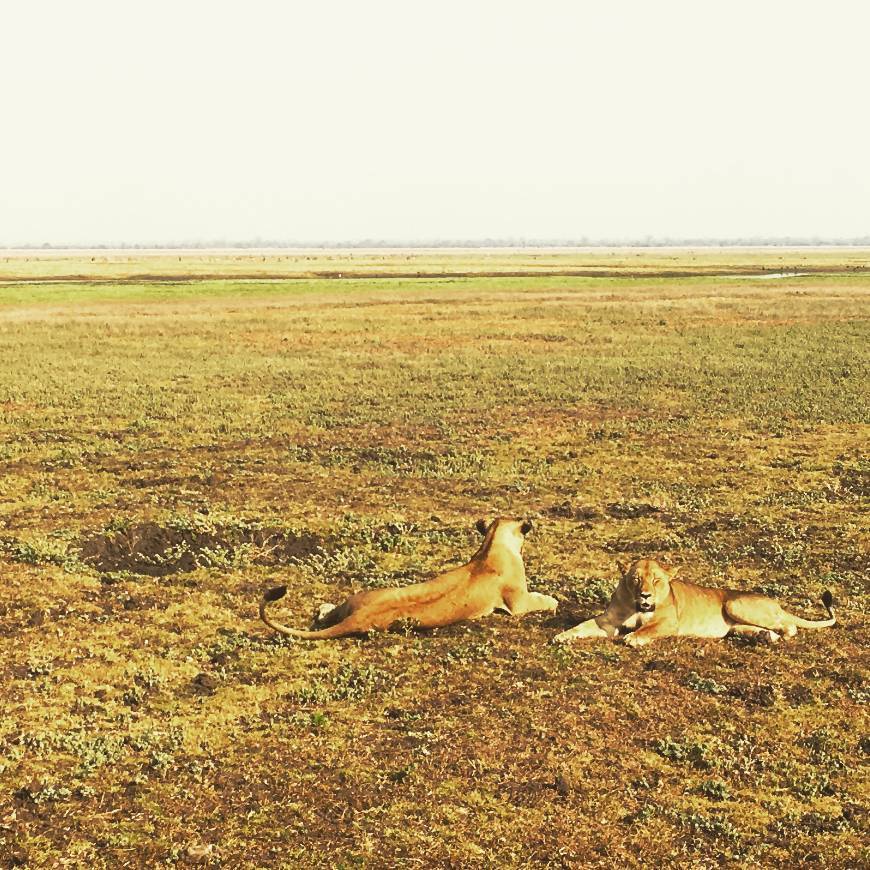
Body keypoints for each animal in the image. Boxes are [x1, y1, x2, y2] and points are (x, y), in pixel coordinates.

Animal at [258, 516, 560, 640]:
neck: (492, 543)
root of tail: (359, 617)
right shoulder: (518, 602)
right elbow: (542, 600)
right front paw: (554, 601)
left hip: (359, 597)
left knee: (327, 613)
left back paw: (324, 608)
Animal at [556, 560, 836, 648]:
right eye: (636, 579)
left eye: (656, 580)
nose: (645, 595)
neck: (637, 607)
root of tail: (776, 603)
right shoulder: (609, 621)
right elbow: (584, 625)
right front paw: (562, 635)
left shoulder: (669, 623)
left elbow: (647, 628)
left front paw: (634, 638)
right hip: (735, 624)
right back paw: (764, 638)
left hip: (734, 605)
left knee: (789, 625)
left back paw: (781, 635)